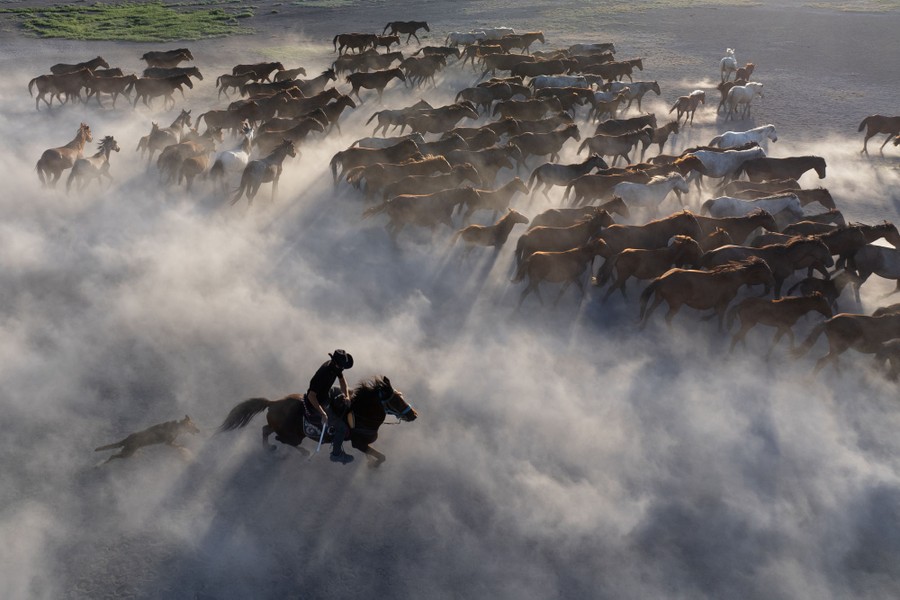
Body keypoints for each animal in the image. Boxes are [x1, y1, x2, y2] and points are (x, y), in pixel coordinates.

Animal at [218, 376, 414, 468]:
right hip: (293, 435)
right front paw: (373, 465)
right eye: (396, 401)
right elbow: (381, 457)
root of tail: (273, 403)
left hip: (284, 428)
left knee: (266, 430)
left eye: (401, 397)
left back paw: (271, 449)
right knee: (281, 438)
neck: (359, 414)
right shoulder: (359, 443)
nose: (414, 415)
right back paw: (299, 451)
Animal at [636, 256, 776, 330]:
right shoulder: (724, 301)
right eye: (767, 272)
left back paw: (642, 327)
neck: (731, 278)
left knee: (649, 311)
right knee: (667, 317)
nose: (771, 283)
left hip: (659, 297)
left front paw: (704, 319)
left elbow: (716, 312)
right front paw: (720, 330)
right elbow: (720, 314)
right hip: (675, 305)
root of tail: (662, 279)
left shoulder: (719, 302)